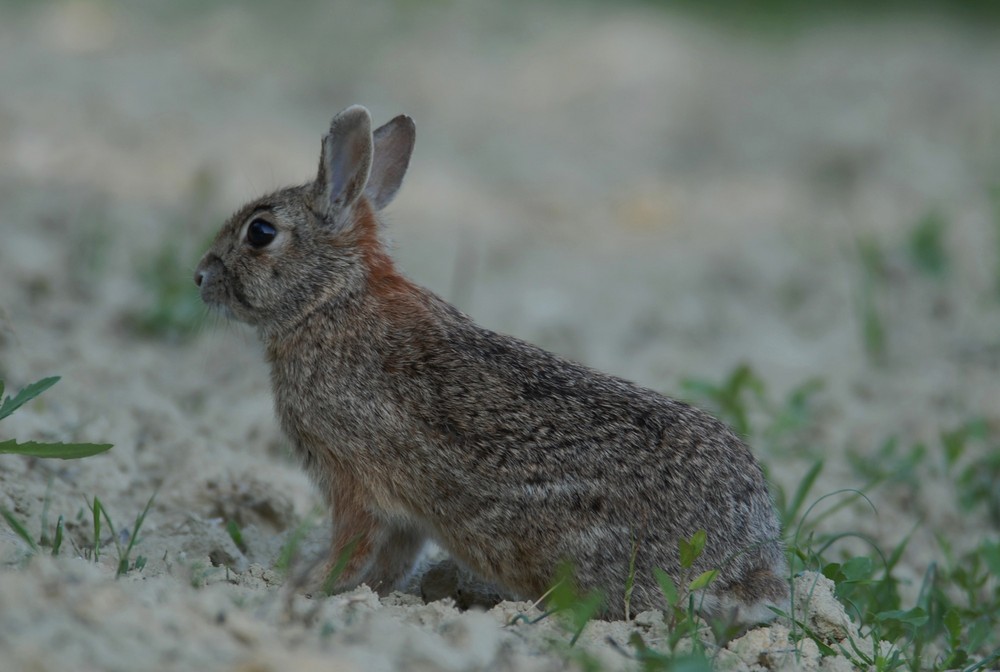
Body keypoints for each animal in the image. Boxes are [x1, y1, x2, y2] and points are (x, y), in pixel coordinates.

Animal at [195, 103, 788, 624]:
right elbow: (391, 559)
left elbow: (355, 545)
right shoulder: (402, 512)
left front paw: (308, 585)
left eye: (261, 232)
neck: (329, 298)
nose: (200, 276)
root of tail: (744, 571)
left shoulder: (354, 480)